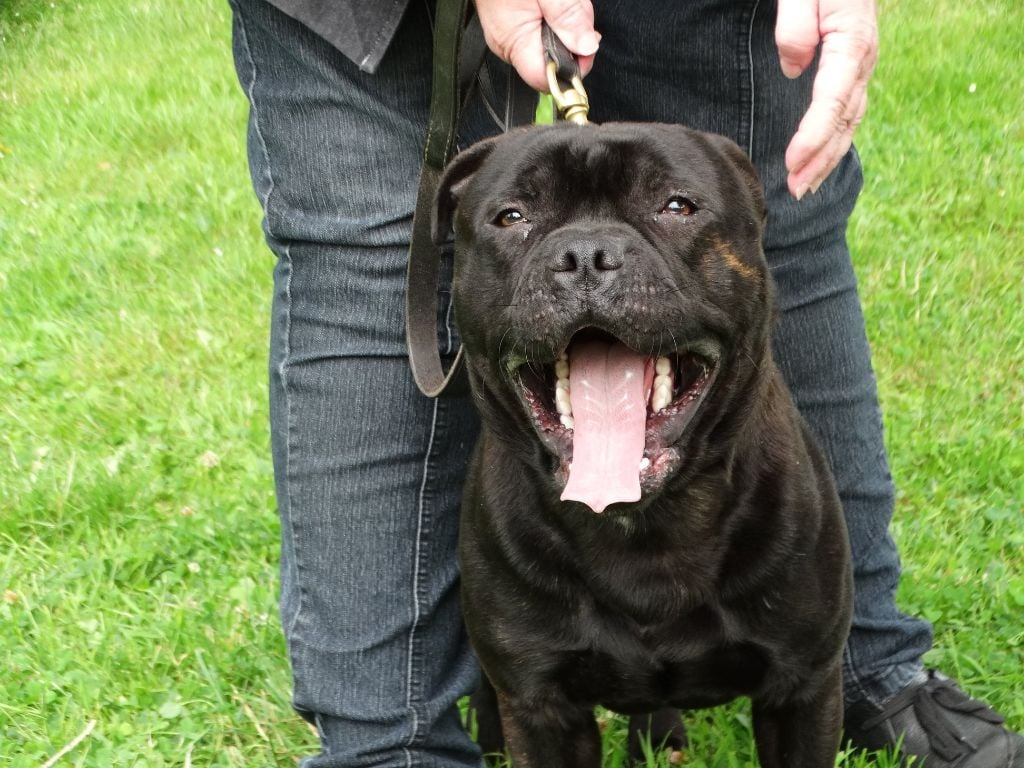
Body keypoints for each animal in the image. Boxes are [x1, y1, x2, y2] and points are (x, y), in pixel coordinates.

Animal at [432, 122, 853, 768]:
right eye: (511, 217)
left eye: (677, 206)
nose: (585, 255)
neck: (645, 533)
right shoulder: (540, 705)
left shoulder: (802, 687)